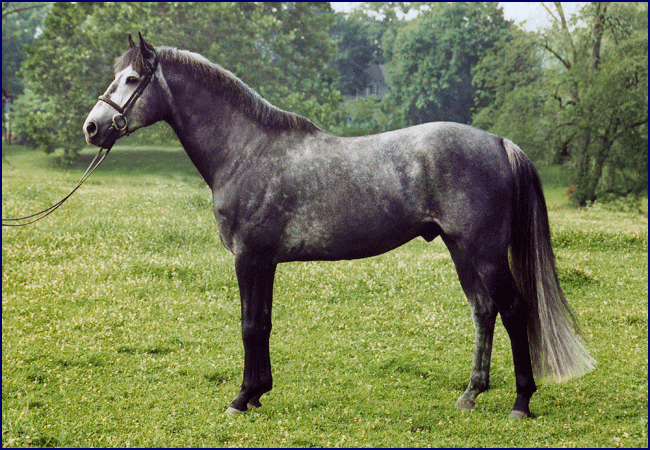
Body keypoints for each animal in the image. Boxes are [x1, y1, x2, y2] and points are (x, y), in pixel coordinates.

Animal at [82, 34, 592, 418]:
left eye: (131, 79)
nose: (92, 127)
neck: (246, 151)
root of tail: (498, 141)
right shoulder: (266, 262)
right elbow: (263, 323)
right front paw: (259, 391)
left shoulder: (249, 257)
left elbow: (248, 324)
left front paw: (242, 398)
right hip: (461, 248)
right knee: (484, 311)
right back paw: (471, 394)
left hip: (484, 252)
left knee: (514, 310)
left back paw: (521, 403)